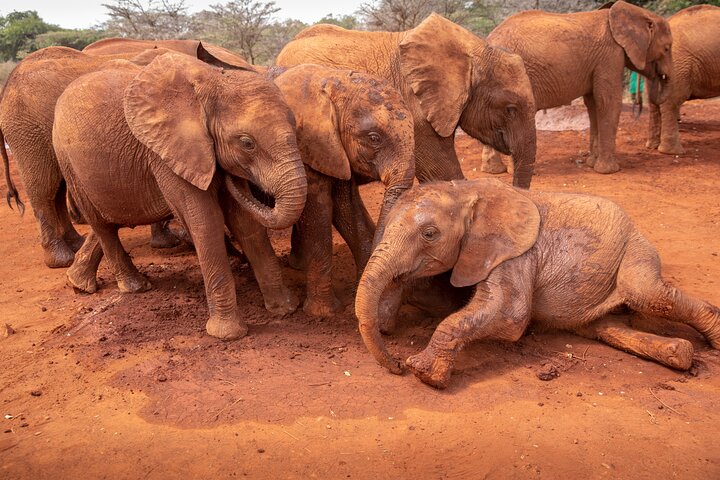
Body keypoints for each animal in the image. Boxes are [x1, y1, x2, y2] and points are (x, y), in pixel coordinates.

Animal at [0, 42, 252, 268]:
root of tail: (8, 82)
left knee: (58, 189)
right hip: (27, 128)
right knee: (43, 186)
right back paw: (62, 259)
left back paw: (76, 244)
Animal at [52, 53, 307, 340]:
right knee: (103, 225)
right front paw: (227, 334)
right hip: (69, 162)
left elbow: (245, 223)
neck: (214, 83)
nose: (238, 181)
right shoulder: (166, 154)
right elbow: (205, 223)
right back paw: (134, 287)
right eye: (247, 143)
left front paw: (284, 310)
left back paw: (79, 284)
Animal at [268, 64, 415, 316]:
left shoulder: (335, 151)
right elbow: (319, 211)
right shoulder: (305, 146)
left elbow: (347, 207)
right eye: (374, 138)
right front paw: (323, 313)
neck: (331, 79)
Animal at [355, 178, 720, 389]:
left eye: (430, 234)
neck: (470, 191)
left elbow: (511, 315)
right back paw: (679, 353)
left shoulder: (517, 253)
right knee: (604, 326)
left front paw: (423, 374)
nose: (396, 365)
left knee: (647, 293)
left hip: (635, 249)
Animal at [481, 0, 673, 175]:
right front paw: (609, 171)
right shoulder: (610, 55)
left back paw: (493, 171)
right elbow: (608, 101)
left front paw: (591, 164)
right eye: (666, 48)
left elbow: (593, 104)